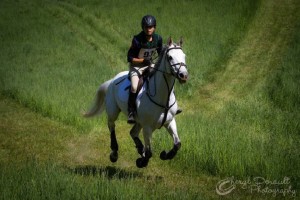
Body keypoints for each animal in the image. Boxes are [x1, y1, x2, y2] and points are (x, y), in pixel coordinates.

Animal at [84, 37, 188, 167]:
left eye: (184, 56)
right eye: (170, 57)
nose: (183, 75)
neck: (162, 97)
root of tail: (112, 80)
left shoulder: (169, 121)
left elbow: (177, 144)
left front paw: (164, 155)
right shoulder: (147, 127)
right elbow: (149, 152)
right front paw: (141, 161)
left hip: (138, 121)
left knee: (133, 132)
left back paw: (139, 148)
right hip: (114, 111)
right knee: (111, 125)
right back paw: (115, 153)